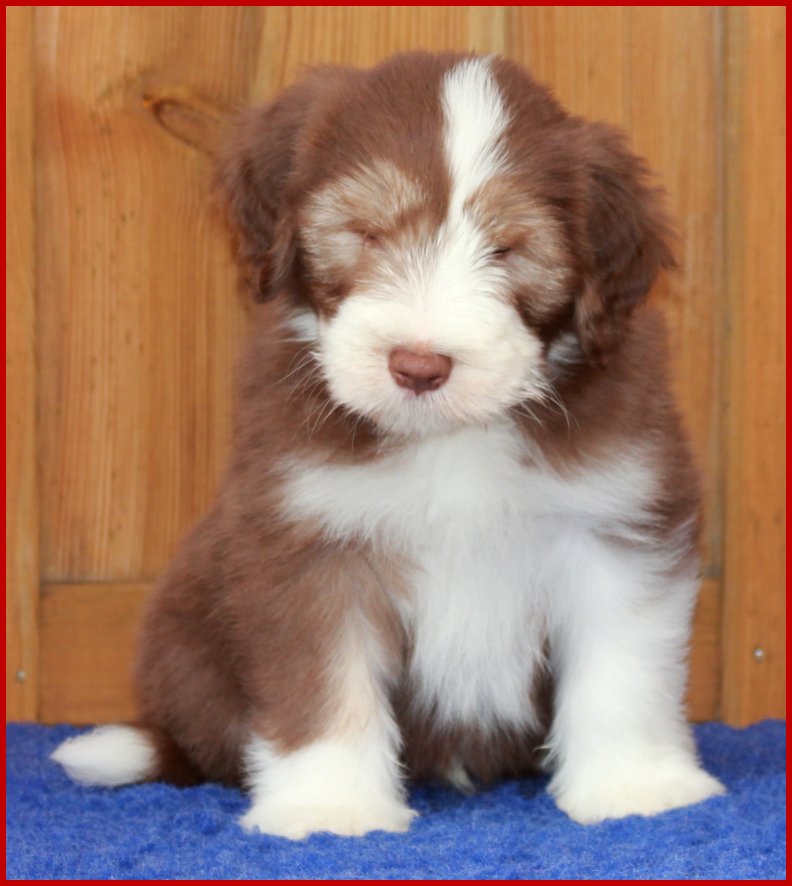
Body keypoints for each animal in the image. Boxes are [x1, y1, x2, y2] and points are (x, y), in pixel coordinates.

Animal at [52, 51, 725, 839]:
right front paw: (329, 805)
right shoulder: (311, 540)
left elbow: (623, 668)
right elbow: (323, 682)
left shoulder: (618, 517)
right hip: (182, 635)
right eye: (366, 233)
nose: (419, 365)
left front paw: (635, 786)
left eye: (509, 250)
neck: (454, 441)